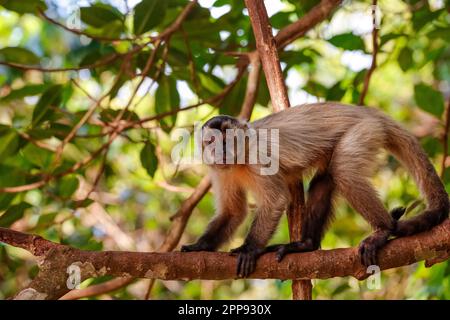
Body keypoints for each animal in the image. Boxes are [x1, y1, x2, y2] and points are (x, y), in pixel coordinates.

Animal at [181, 103, 448, 278]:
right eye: (212, 142)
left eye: (228, 140)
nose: (221, 150)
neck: (239, 161)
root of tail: (367, 111)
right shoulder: (218, 171)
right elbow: (233, 212)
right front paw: (201, 246)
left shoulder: (258, 155)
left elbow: (276, 200)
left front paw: (250, 249)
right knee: (325, 178)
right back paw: (306, 244)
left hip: (365, 129)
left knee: (345, 172)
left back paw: (383, 230)